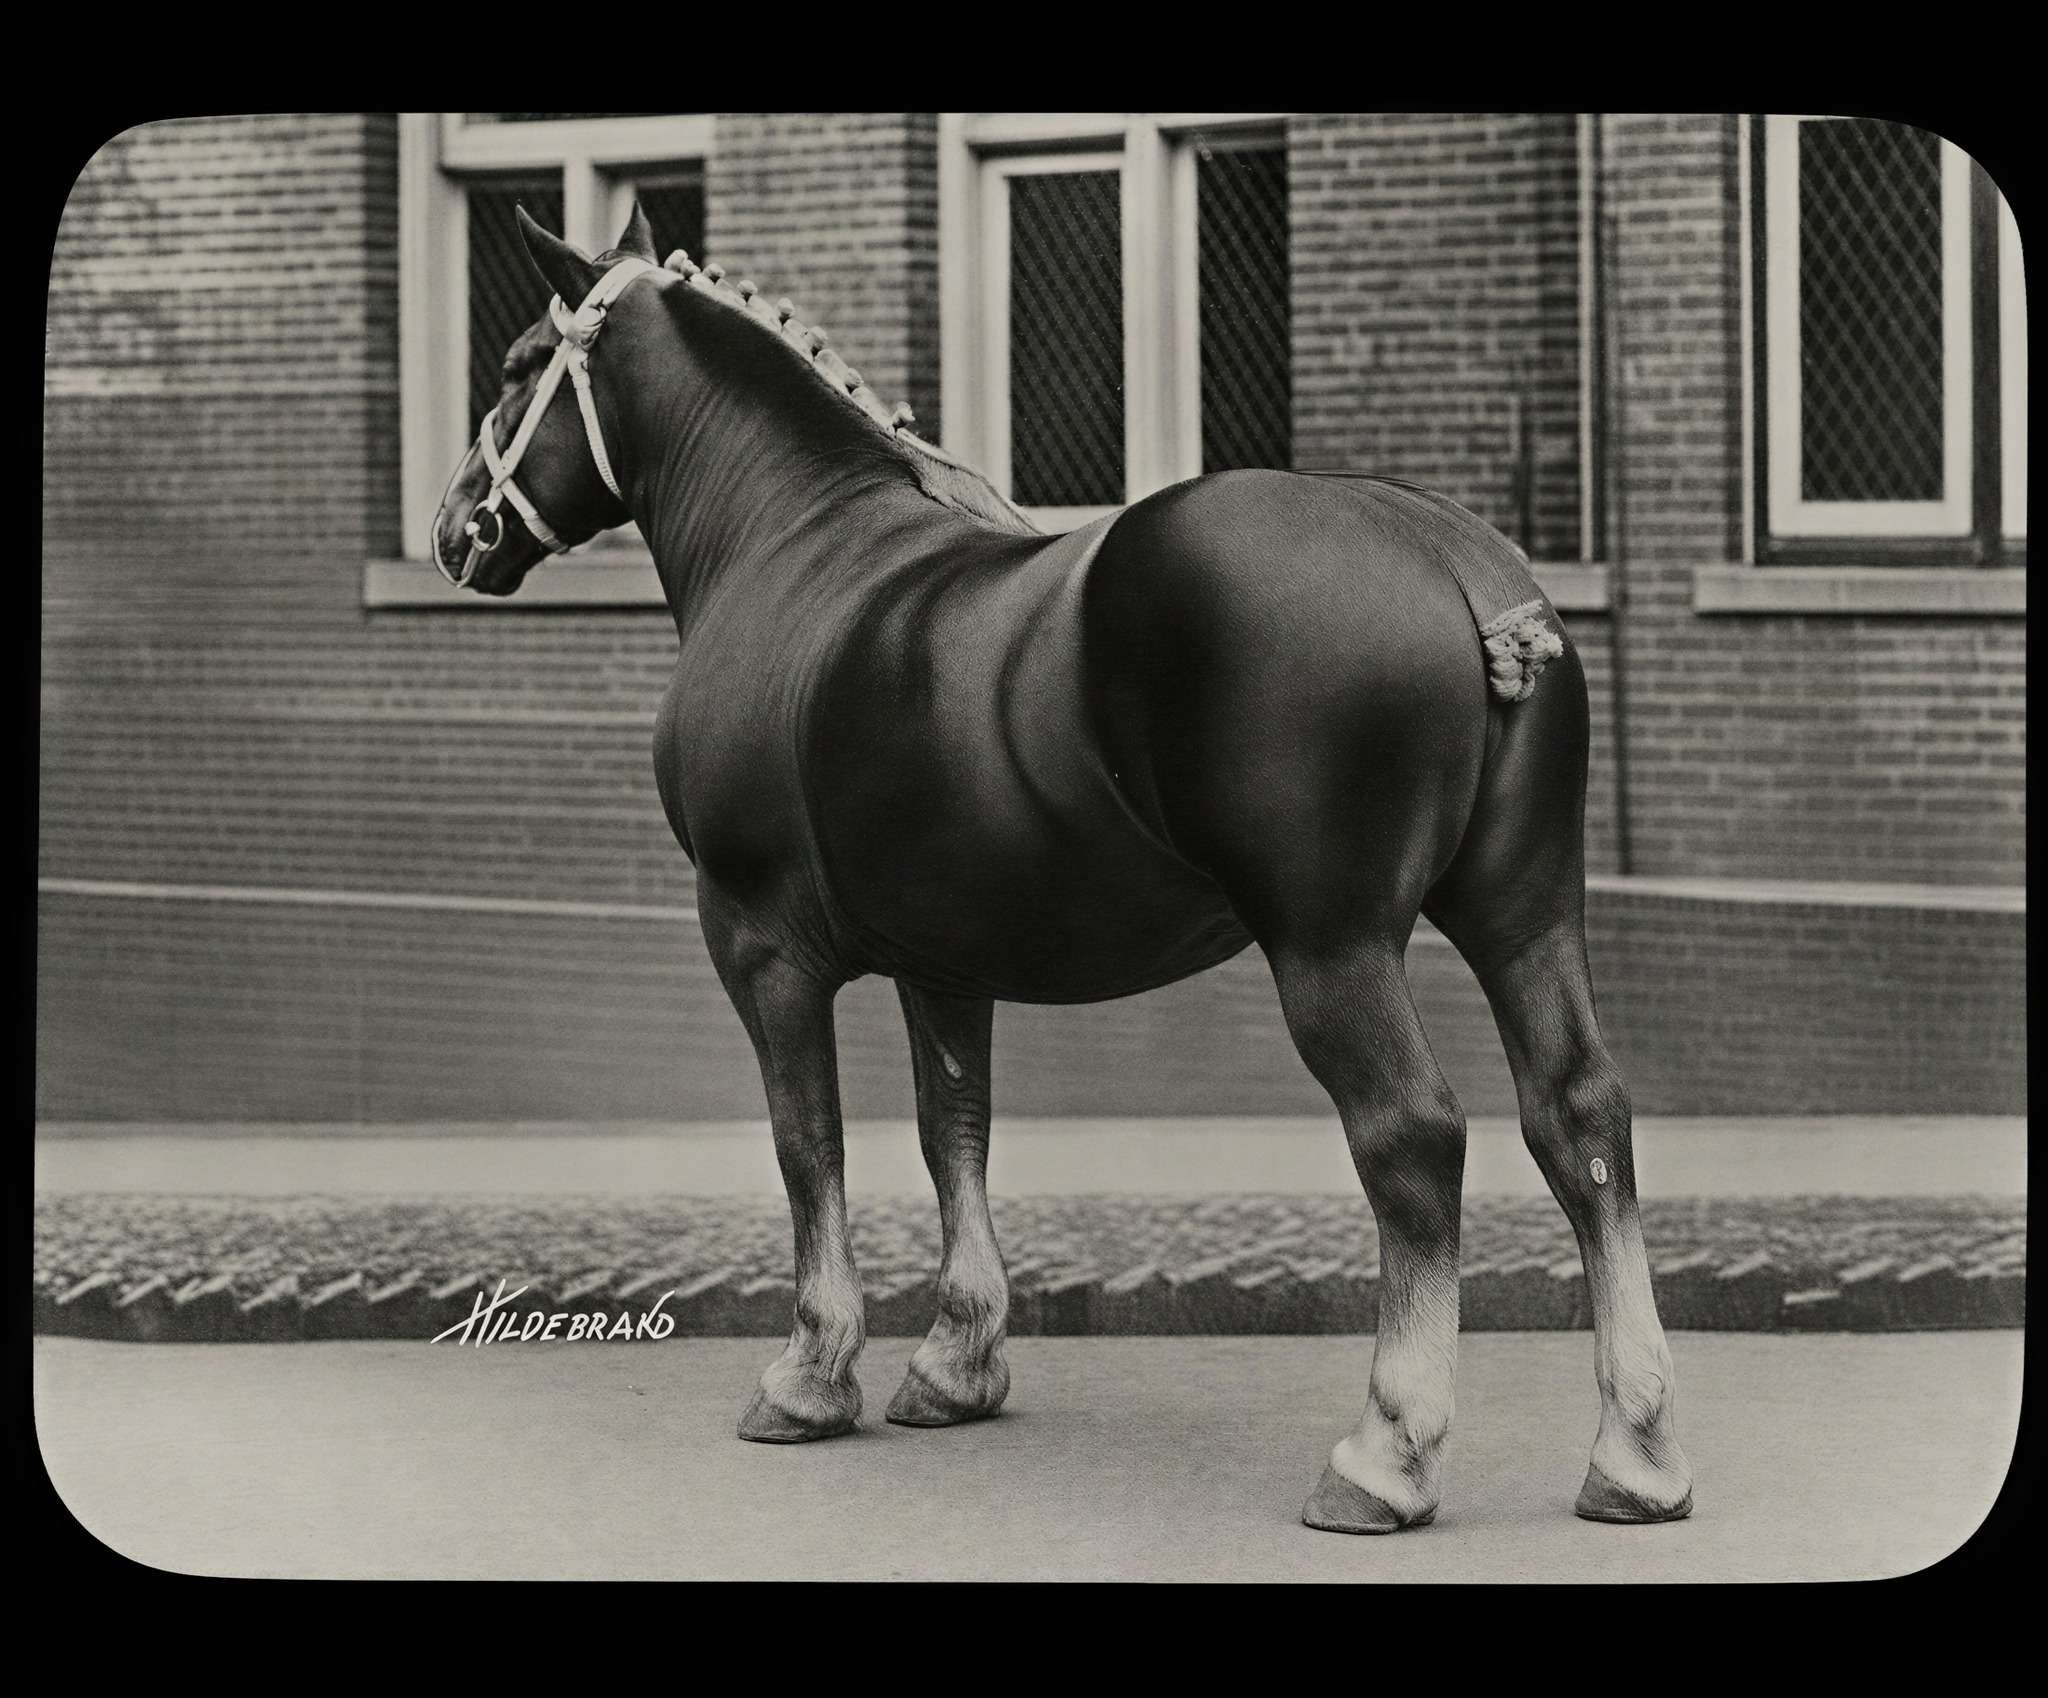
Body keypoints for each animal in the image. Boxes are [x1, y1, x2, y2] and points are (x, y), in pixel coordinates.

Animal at [429, 201, 1694, 1534]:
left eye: (518, 365)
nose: (455, 527)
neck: (793, 545)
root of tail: (1445, 556)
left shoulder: (760, 949)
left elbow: (806, 1143)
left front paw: (810, 1374)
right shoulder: (944, 959)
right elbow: (954, 1131)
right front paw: (956, 1363)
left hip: (1331, 945)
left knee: (1410, 1137)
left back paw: (1385, 1454)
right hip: (1525, 918)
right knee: (1579, 1116)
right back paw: (1634, 1453)